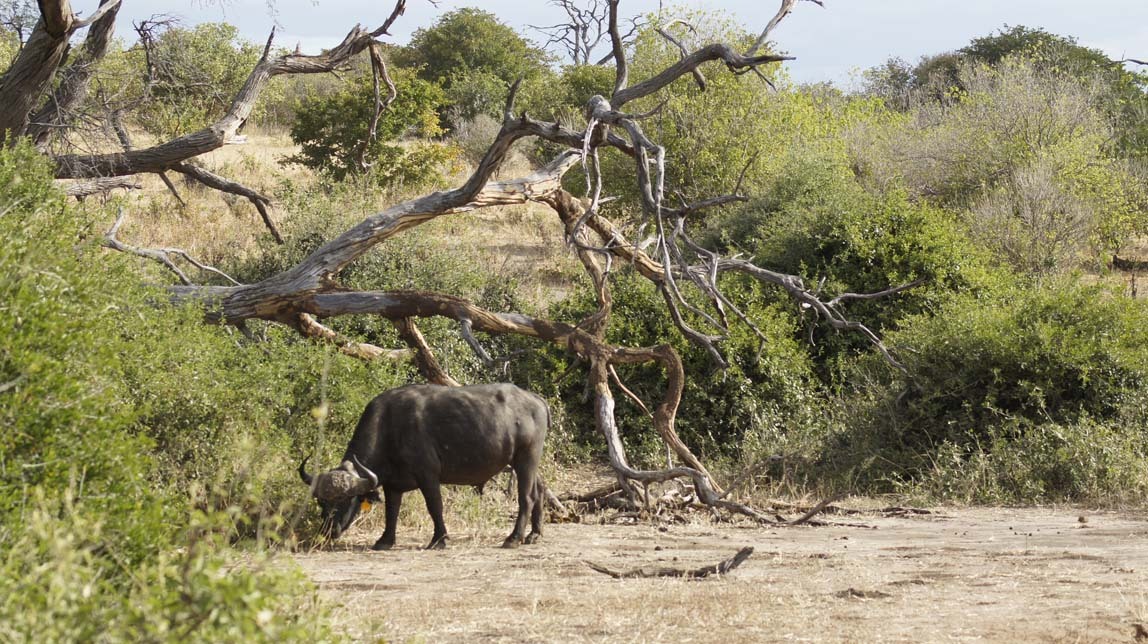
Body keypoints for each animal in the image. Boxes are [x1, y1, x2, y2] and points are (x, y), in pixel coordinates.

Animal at [296, 381, 546, 546]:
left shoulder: (428, 476)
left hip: (525, 458)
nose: (328, 532)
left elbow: (434, 506)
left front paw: (439, 539)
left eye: (346, 500)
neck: (389, 428)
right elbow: (391, 511)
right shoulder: (392, 484)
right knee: (539, 490)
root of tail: (536, 400)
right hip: (527, 462)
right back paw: (534, 534)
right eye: (321, 502)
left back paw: (513, 538)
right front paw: (385, 540)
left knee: (526, 497)